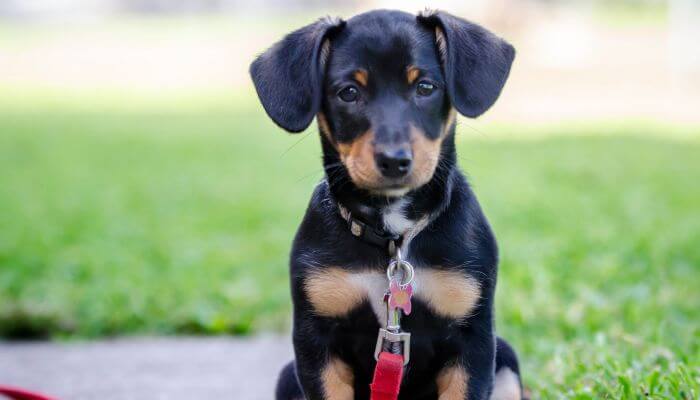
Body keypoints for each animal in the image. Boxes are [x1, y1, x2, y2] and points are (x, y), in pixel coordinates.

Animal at [250, 9, 520, 400]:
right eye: (349, 93)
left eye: (425, 87)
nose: (394, 161)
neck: (393, 233)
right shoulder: (317, 343)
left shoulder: (473, 341)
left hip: (507, 360)